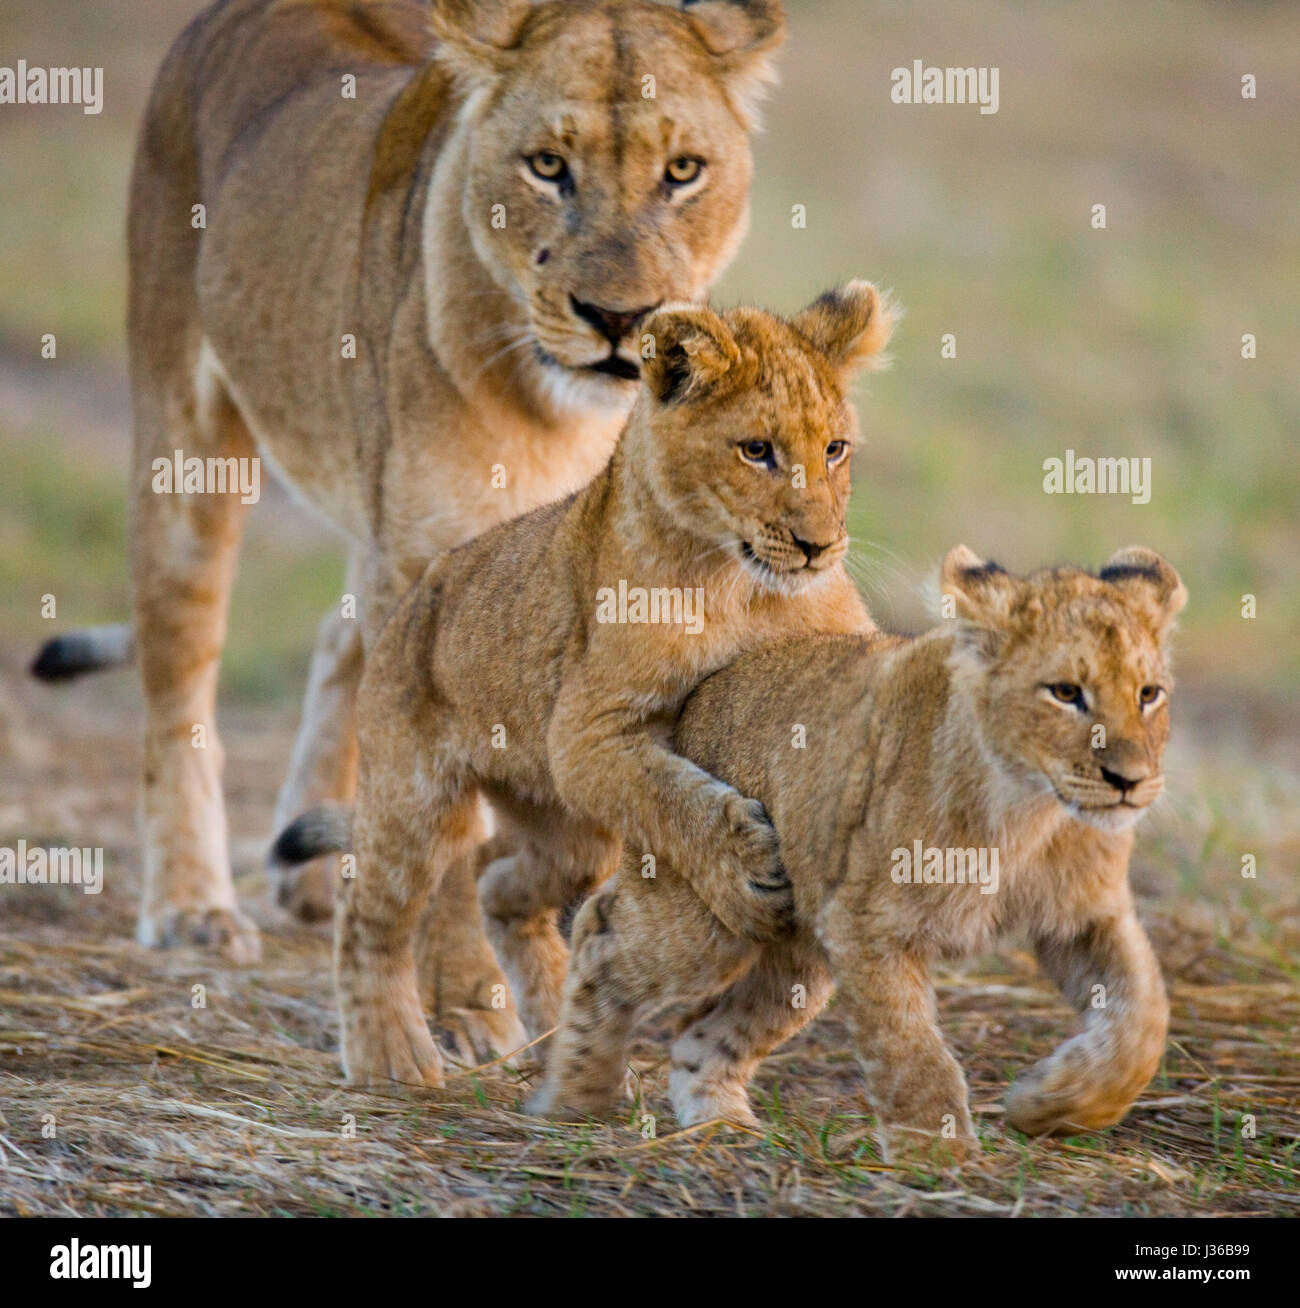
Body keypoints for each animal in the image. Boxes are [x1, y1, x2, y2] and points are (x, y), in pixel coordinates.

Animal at [35, 0, 784, 1056]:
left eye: (684, 171)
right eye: (547, 166)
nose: (620, 318)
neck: (561, 419)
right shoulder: (432, 573)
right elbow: (458, 822)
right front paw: (469, 1003)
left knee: (337, 647)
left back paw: (318, 868)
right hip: (185, 439)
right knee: (181, 677)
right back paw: (192, 906)